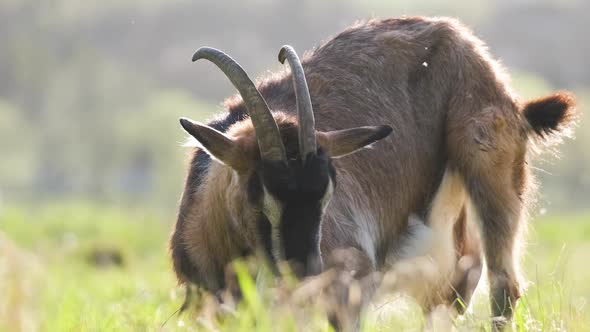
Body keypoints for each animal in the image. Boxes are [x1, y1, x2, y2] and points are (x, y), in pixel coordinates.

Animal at [171, 16, 580, 330]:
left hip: (488, 170)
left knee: (503, 287)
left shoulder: (351, 288)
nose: (306, 276)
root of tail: (453, 34)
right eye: (258, 198)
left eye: (328, 195)